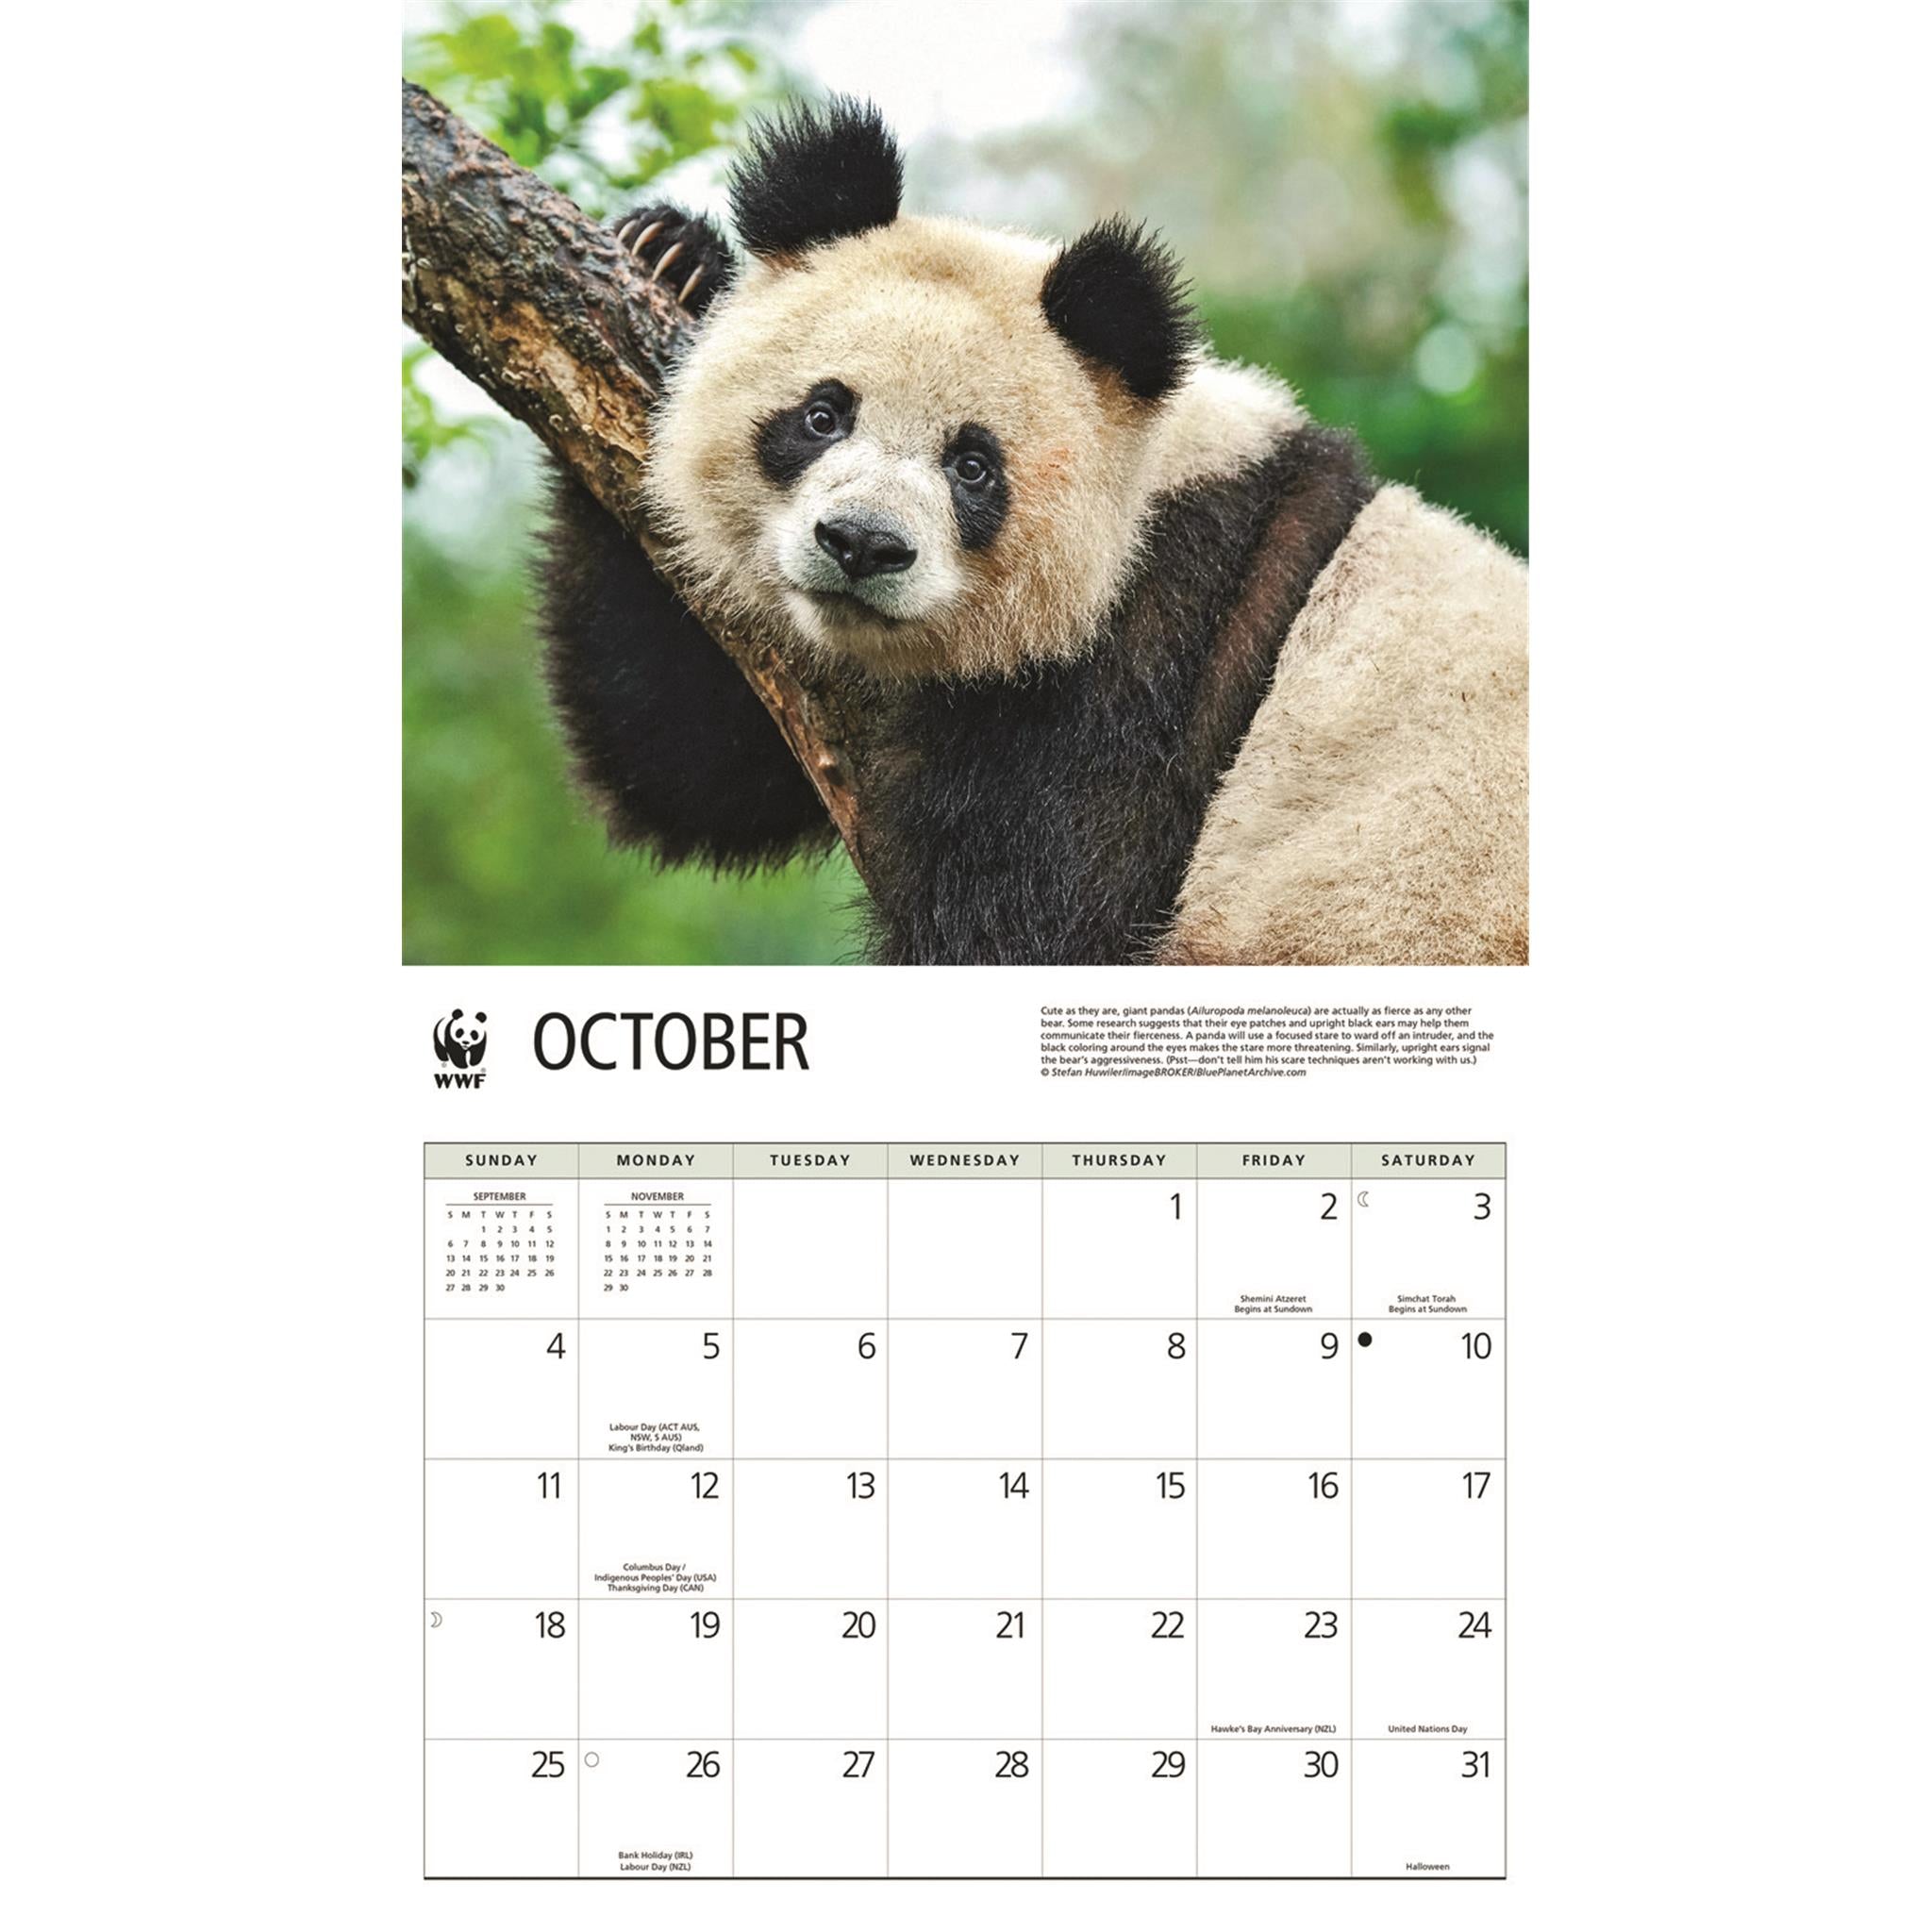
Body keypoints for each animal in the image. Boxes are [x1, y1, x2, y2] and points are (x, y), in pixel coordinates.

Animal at [539, 98, 1527, 966]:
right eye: (823, 415)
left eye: (973, 466)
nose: (861, 546)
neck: (1152, 483)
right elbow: (693, 760)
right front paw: (673, 253)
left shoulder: (1162, 656)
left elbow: (1040, 918)